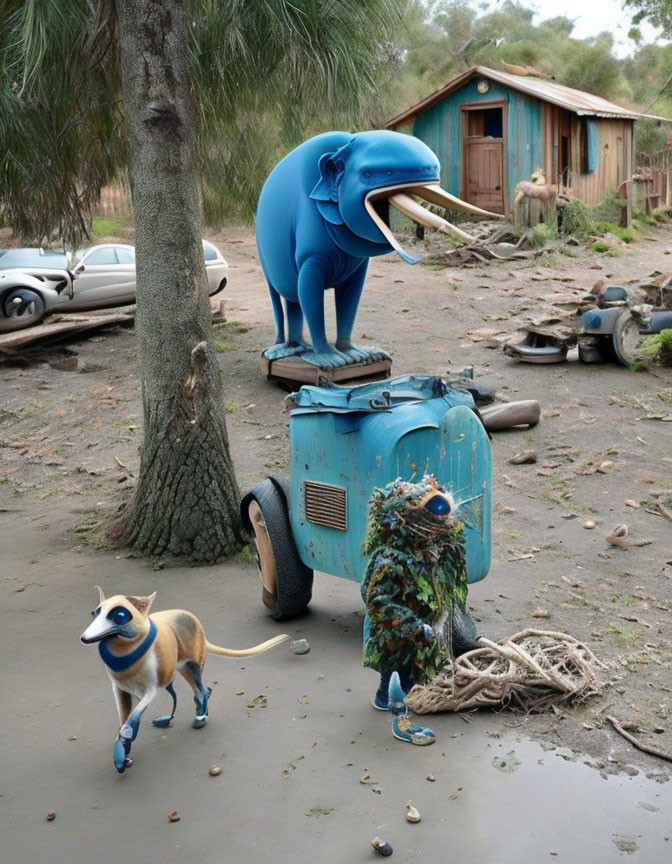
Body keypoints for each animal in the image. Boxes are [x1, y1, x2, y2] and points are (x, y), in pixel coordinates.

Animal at [80, 592, 288, 772]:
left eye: (120, 615)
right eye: (94, 614)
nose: (83, 638)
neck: (126, 649)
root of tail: (197, 624)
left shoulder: (151, 690)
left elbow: (131, 720)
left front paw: (122, 747)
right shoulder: (119, 689)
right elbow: (124, 721)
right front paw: (125, 753)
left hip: (194, 664)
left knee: (202, 691)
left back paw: (200, 717)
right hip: (183, 668)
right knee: (201, 691)